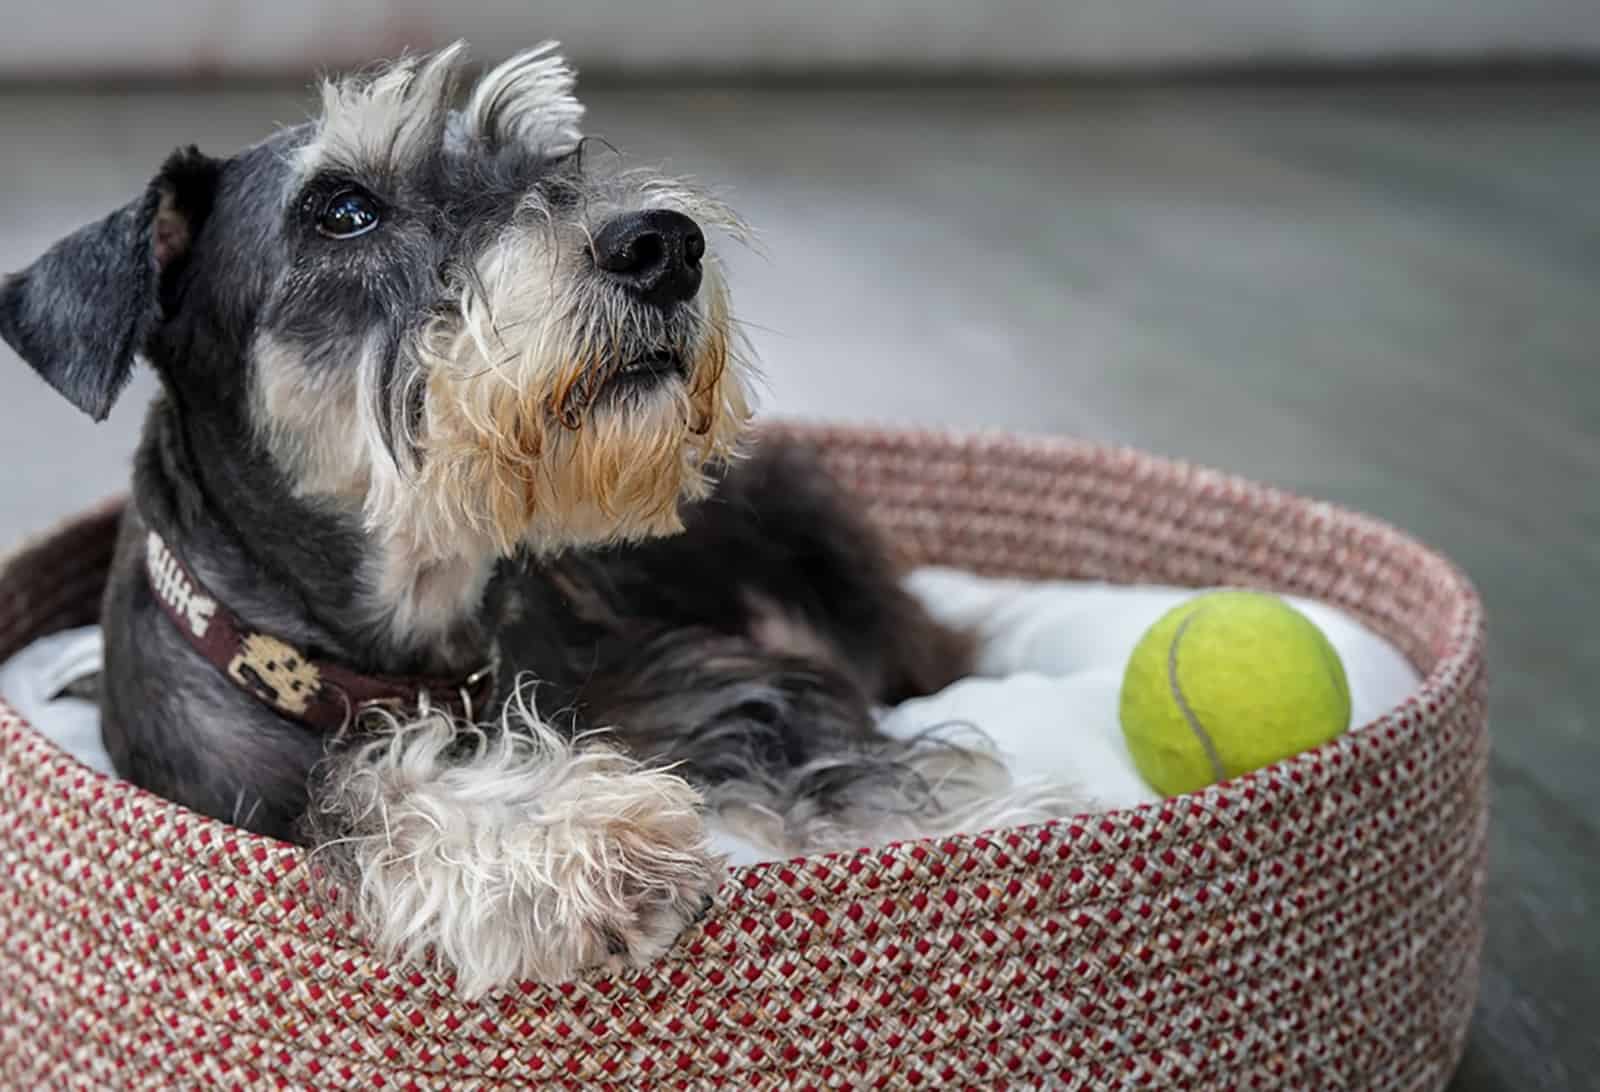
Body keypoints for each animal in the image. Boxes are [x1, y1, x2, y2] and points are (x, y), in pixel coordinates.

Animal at [3, 42, 1062, 992]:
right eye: (342, 211)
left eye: (553, 163)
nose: (664, 246)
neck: (415, 636)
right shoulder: (247, 795)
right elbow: (369, 789)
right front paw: (580, 841)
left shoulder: (719, 687)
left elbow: (857, 765)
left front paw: (1010, 830)